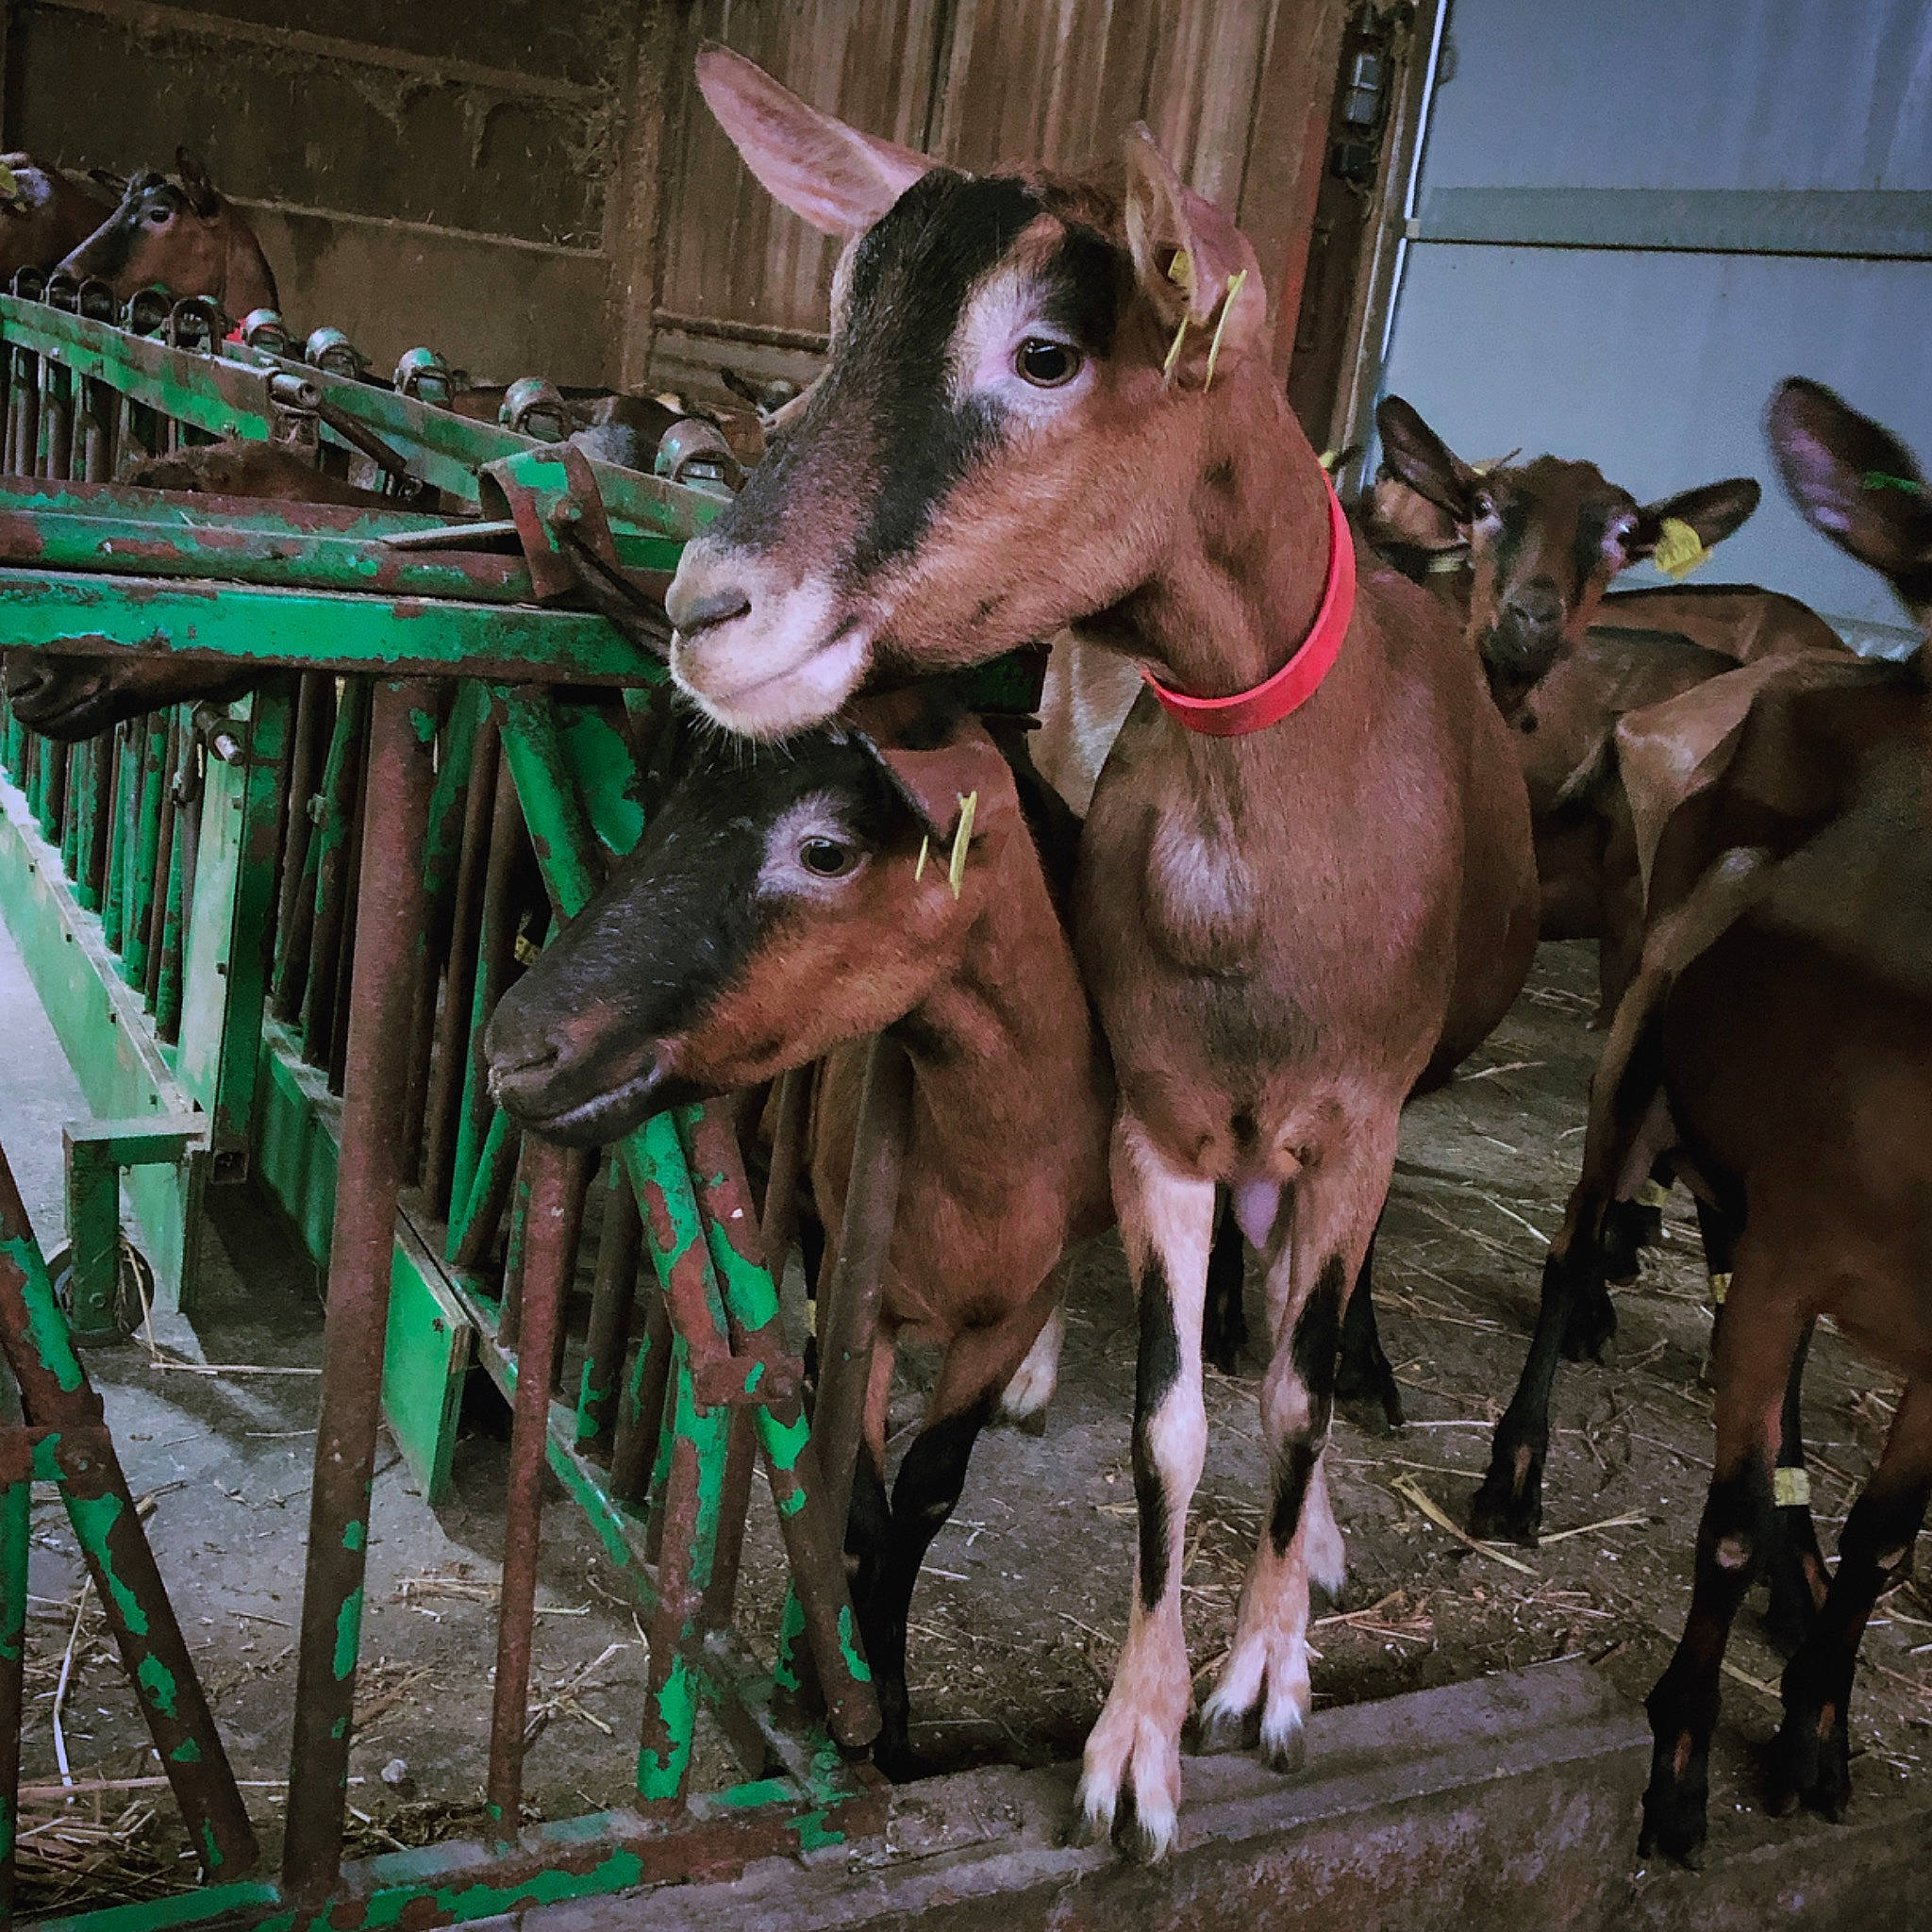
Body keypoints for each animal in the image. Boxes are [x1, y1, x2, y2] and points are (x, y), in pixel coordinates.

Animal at [483, 682, 1114, 1779]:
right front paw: (854, 1709)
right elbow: (852, 1498)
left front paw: (890, 1720)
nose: (515, 1048)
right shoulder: (847, 1271)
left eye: (825, 851)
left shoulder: (1009, 1299)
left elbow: (928, 1494)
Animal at [655, 46, 1540, 1859]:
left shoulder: (1358, 1119)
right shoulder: (1159, 1121)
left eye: (1047, 352)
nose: (707, 607)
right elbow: (1169, 1426)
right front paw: (1135, 1745)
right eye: (839, 321)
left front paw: (1266, 1680)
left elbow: (1289, 1398)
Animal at [1489, 377, 1932, 1866]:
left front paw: (1815, 1735)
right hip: (1638, 1037)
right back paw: (1514, 1476)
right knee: (1575, 1239)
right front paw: (1679, 1770)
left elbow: (1886, 1540)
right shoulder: (1794, 1253)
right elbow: (1726, 1525)